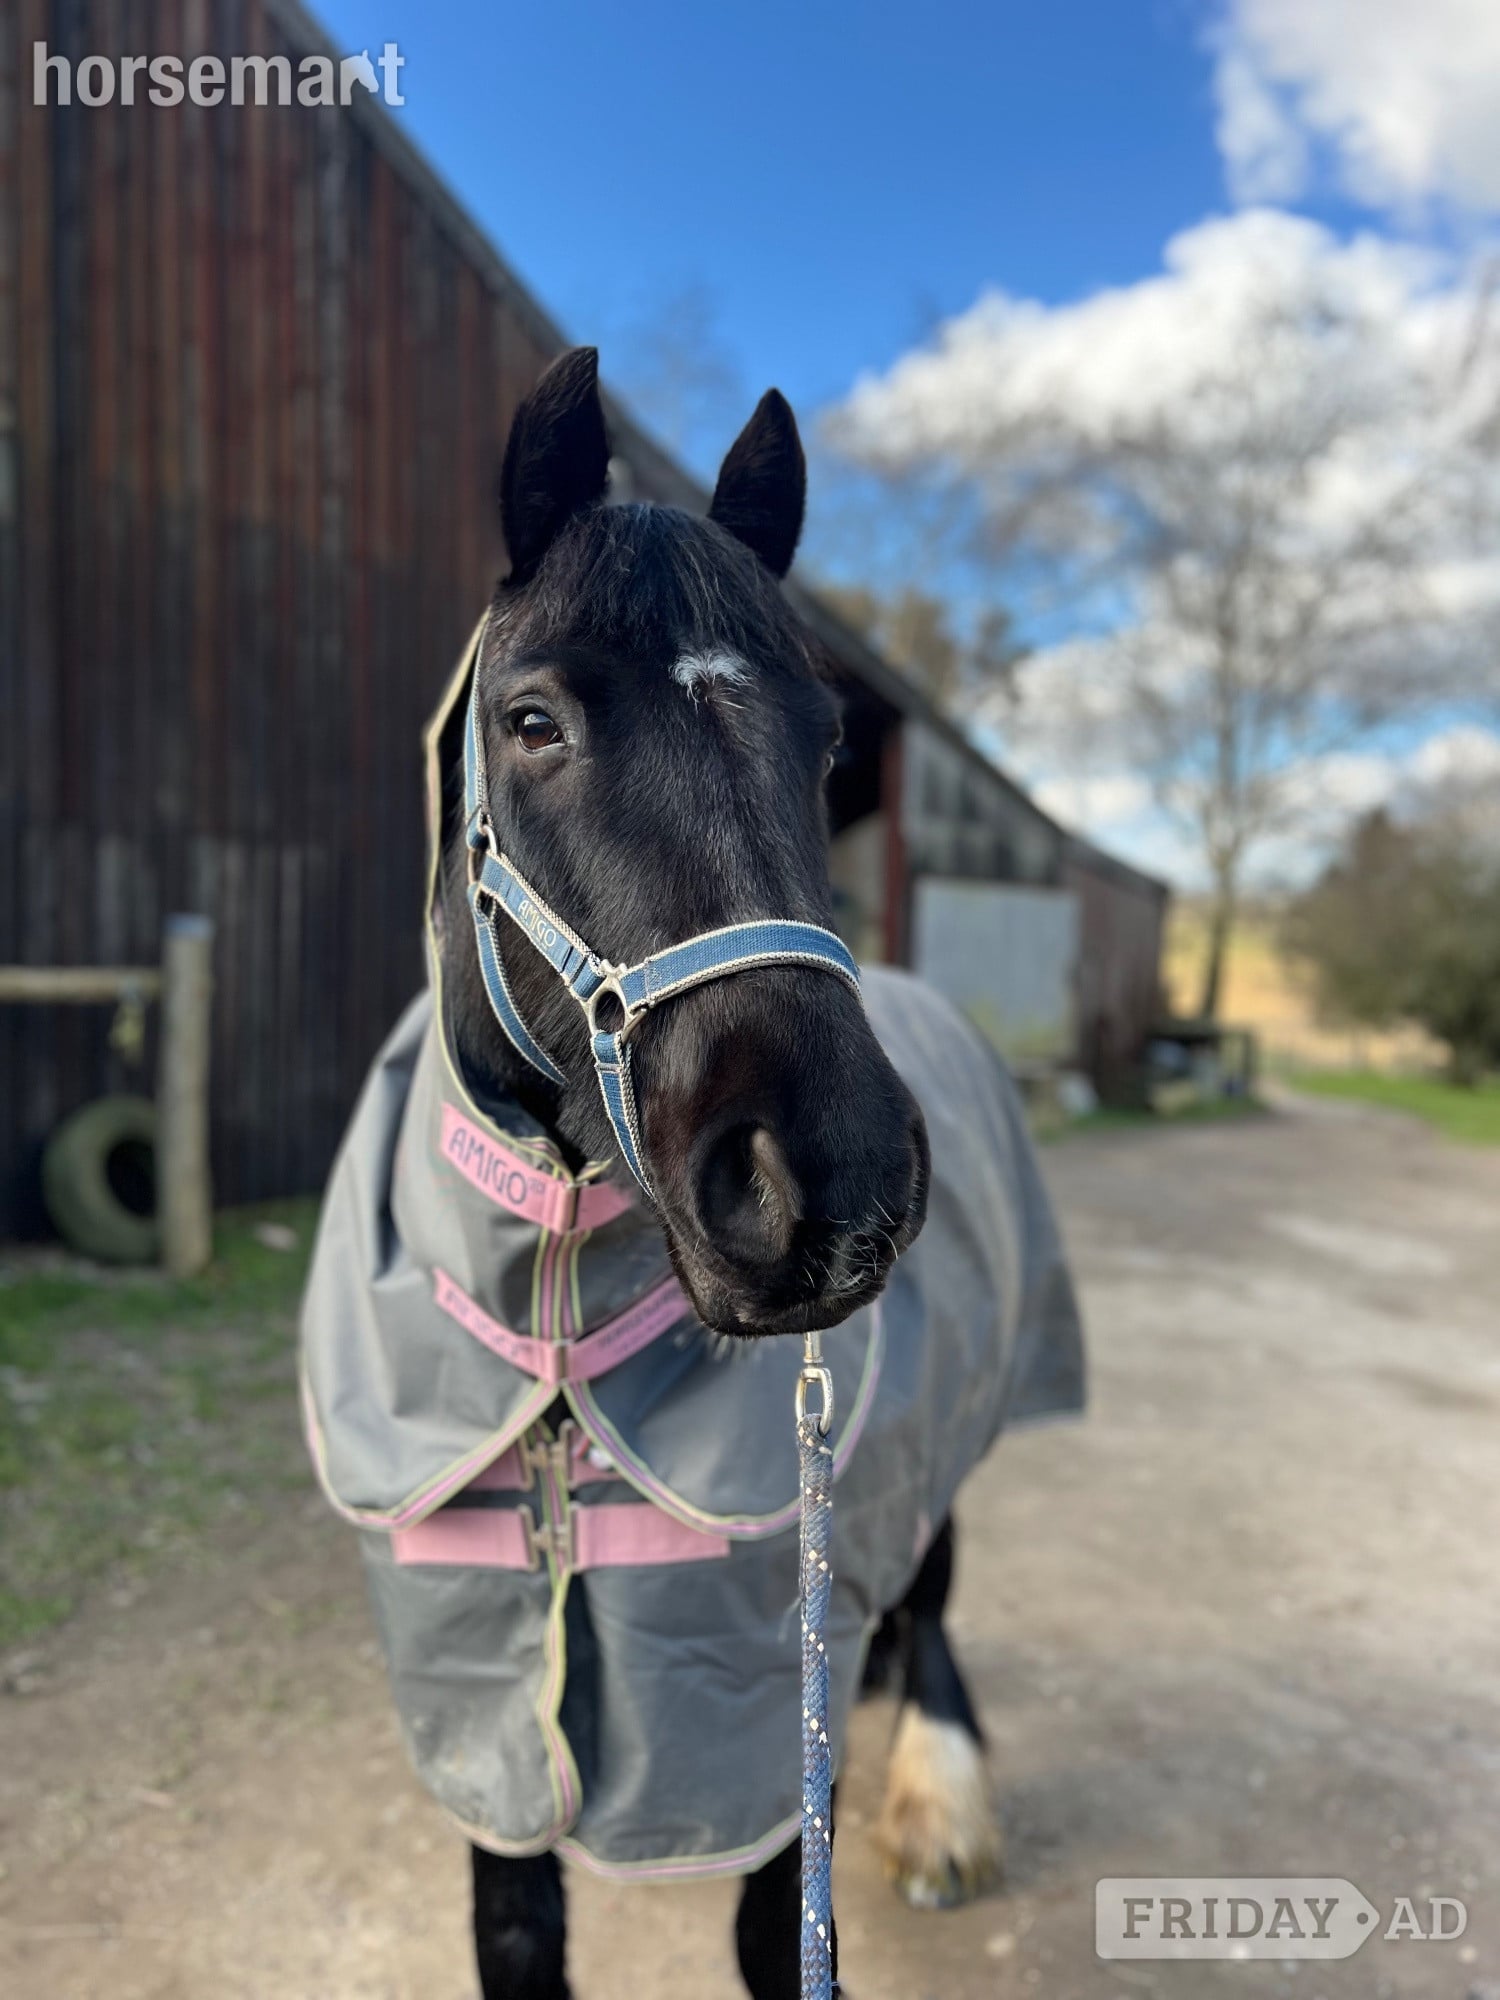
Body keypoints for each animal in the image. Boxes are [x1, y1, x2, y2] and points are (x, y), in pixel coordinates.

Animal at [299, 345, 1083, 1998]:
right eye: (533, 720)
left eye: (829, 745)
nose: (828, 1181)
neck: (555, 1340)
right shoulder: (490, 1722)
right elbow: (518, 1926)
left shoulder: (766, 1713)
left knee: (935, 1596)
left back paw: (945, 1798)